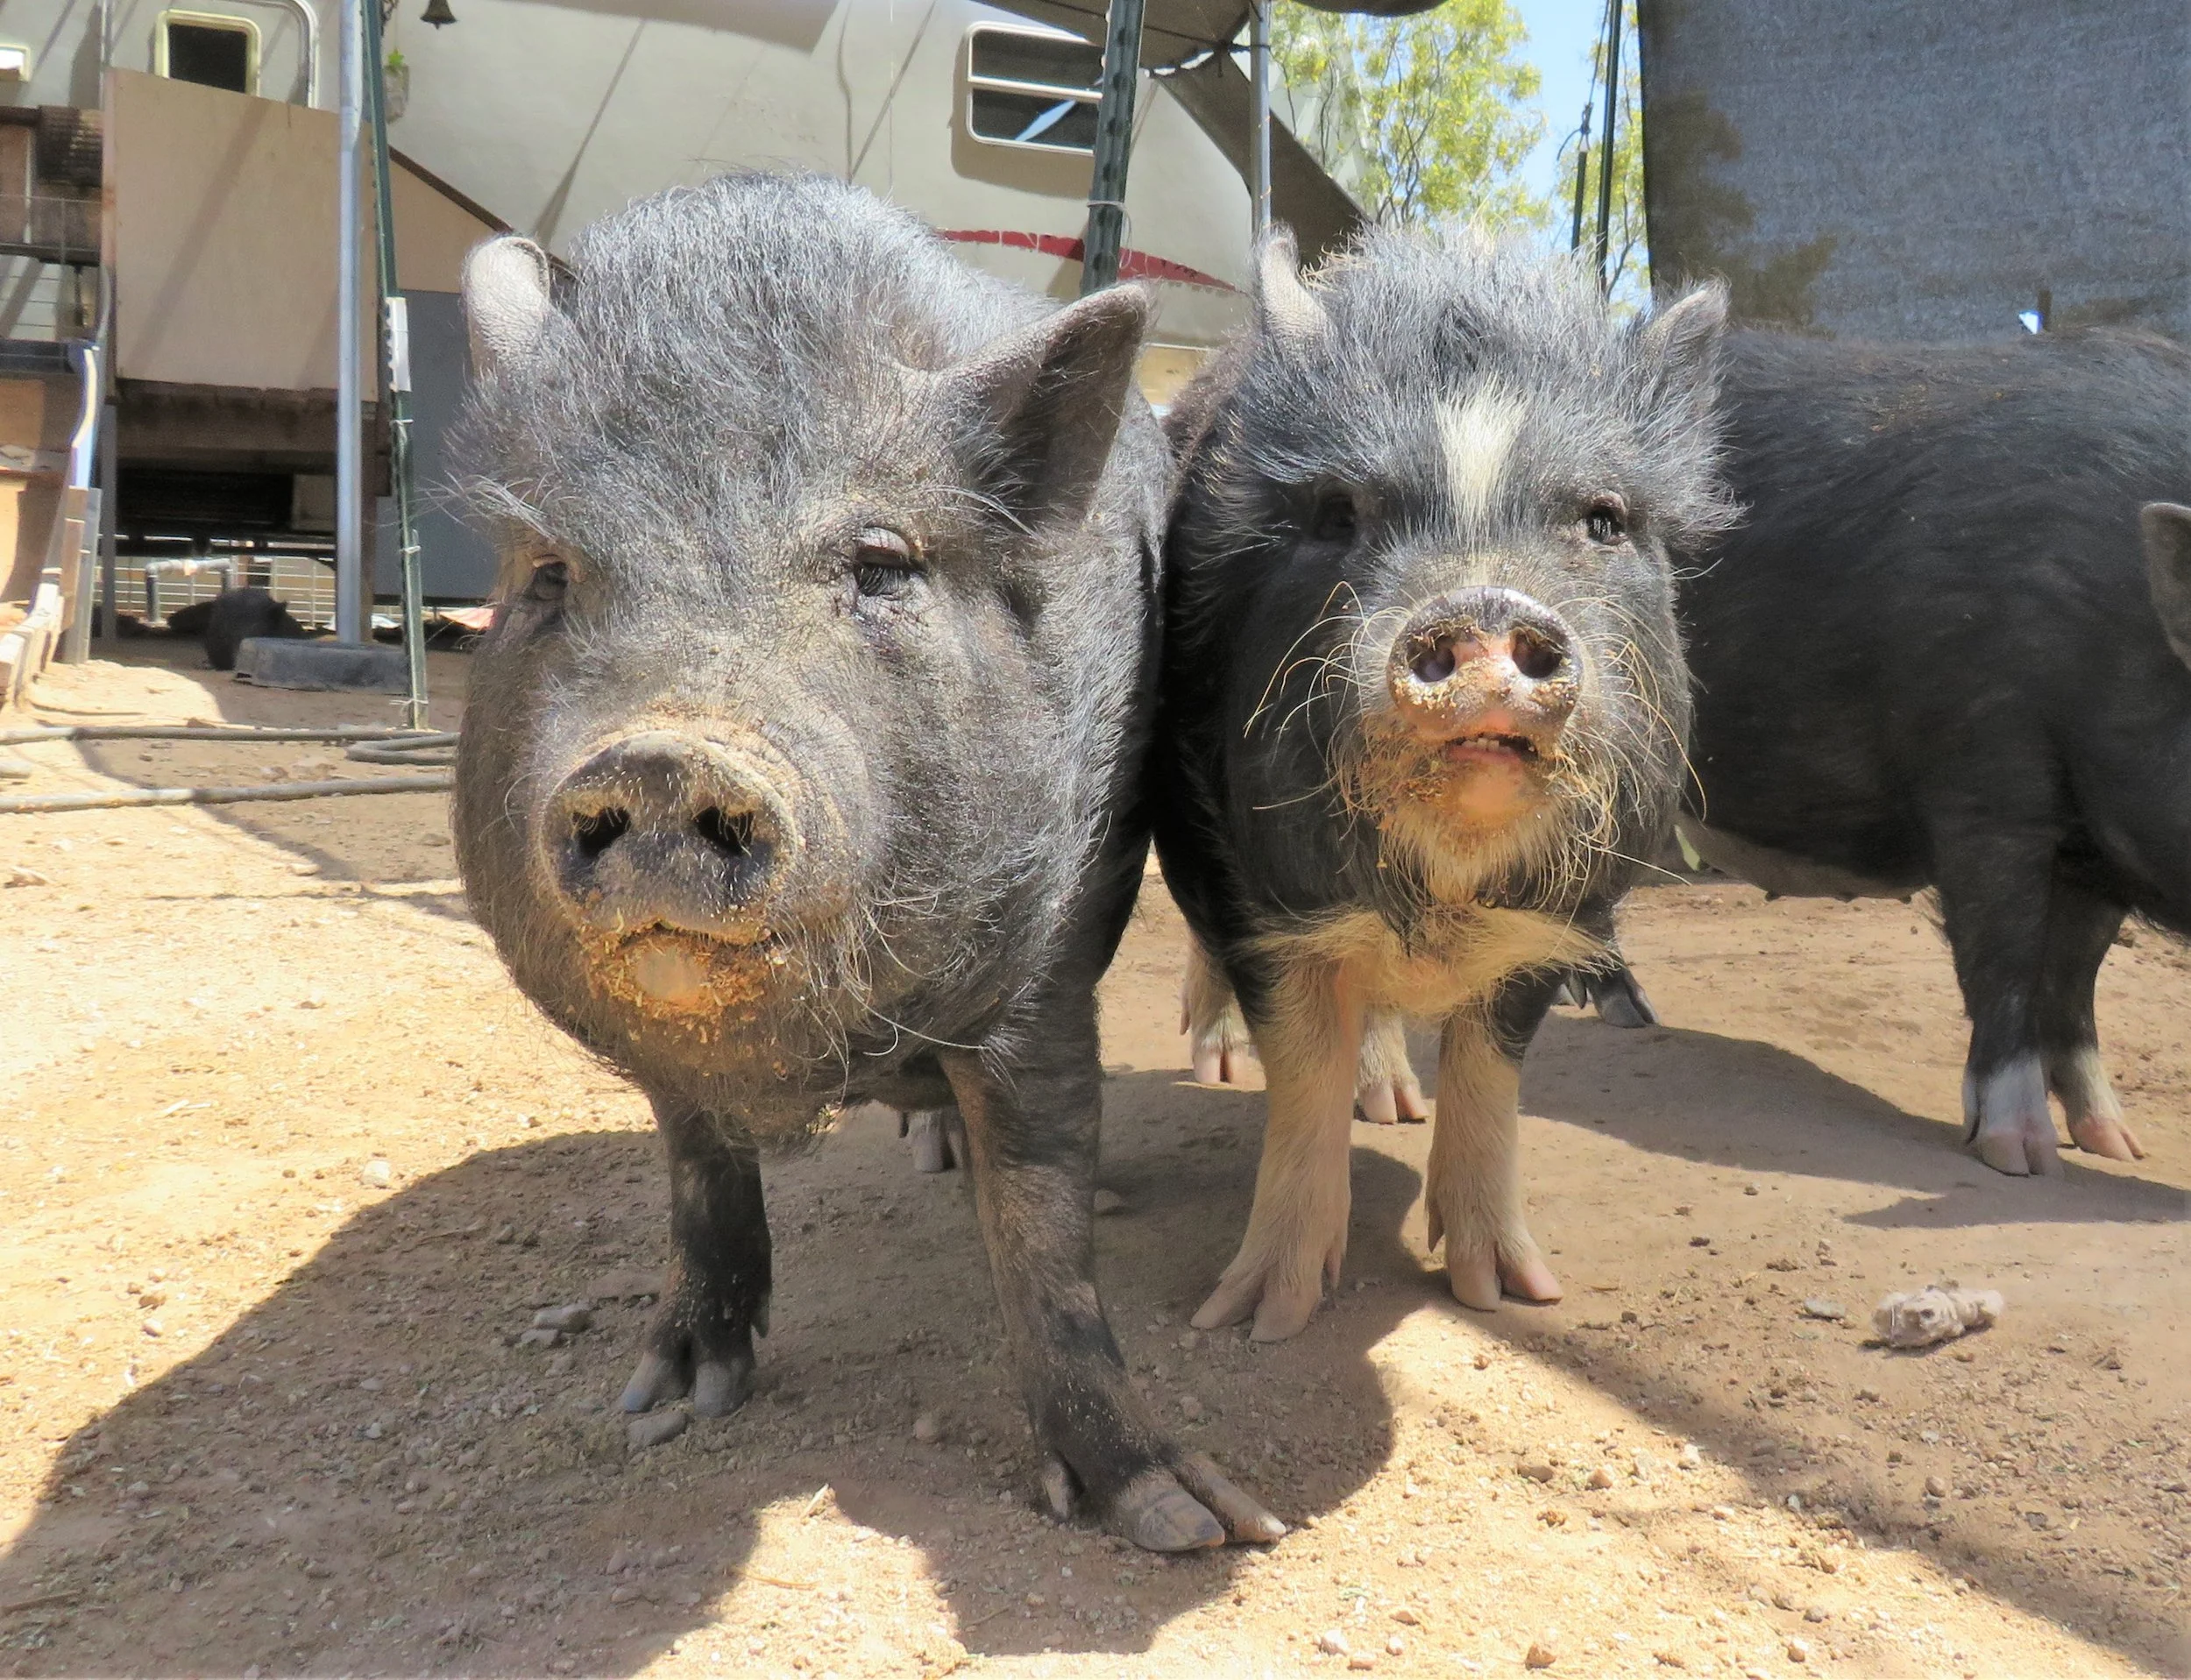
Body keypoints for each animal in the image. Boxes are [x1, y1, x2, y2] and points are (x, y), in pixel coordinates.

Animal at [446, 172, 1278, 1552]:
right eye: (549, 574)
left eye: (881, 561)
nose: (662, 758)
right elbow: (699, 1177)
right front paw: (662, 1403)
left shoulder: (1045, 966)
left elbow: (1044, 1222)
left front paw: (1191, 1522)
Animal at [1155, 228, 1729, 1340]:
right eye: (1335, 514)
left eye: (1602, 520)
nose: (1485, 606)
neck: (1444, 899)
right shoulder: (1260, 901)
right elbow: (1299, 1069)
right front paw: (1255, 1317)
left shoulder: (1559, 918)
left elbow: (1489, 1075)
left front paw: (1511, 1295)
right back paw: (1213, 1064)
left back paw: (1392, 1105)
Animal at [1656, 328, 2191, 1176]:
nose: (2129, 1149)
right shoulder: (1982, 776)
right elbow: (2003, 955)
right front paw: (2020, 1158)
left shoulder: (2098, 839)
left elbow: (2075, 977)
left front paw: (2118, 1144)